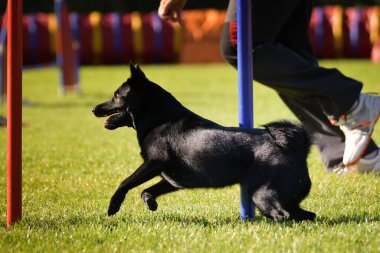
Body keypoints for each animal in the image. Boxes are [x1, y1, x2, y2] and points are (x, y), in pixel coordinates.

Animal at [92, 63, 314, 221]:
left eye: (116, 96)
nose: (94, 109)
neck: (161, 119)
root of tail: (300, 150)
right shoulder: (173, 180)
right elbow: (146, 191)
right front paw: (151, 203)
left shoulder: (153, 163)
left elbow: (125, 183)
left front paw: (113, 206)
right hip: (284, 198)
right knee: (306, 215)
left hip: (262, 193)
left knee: (282, 215)